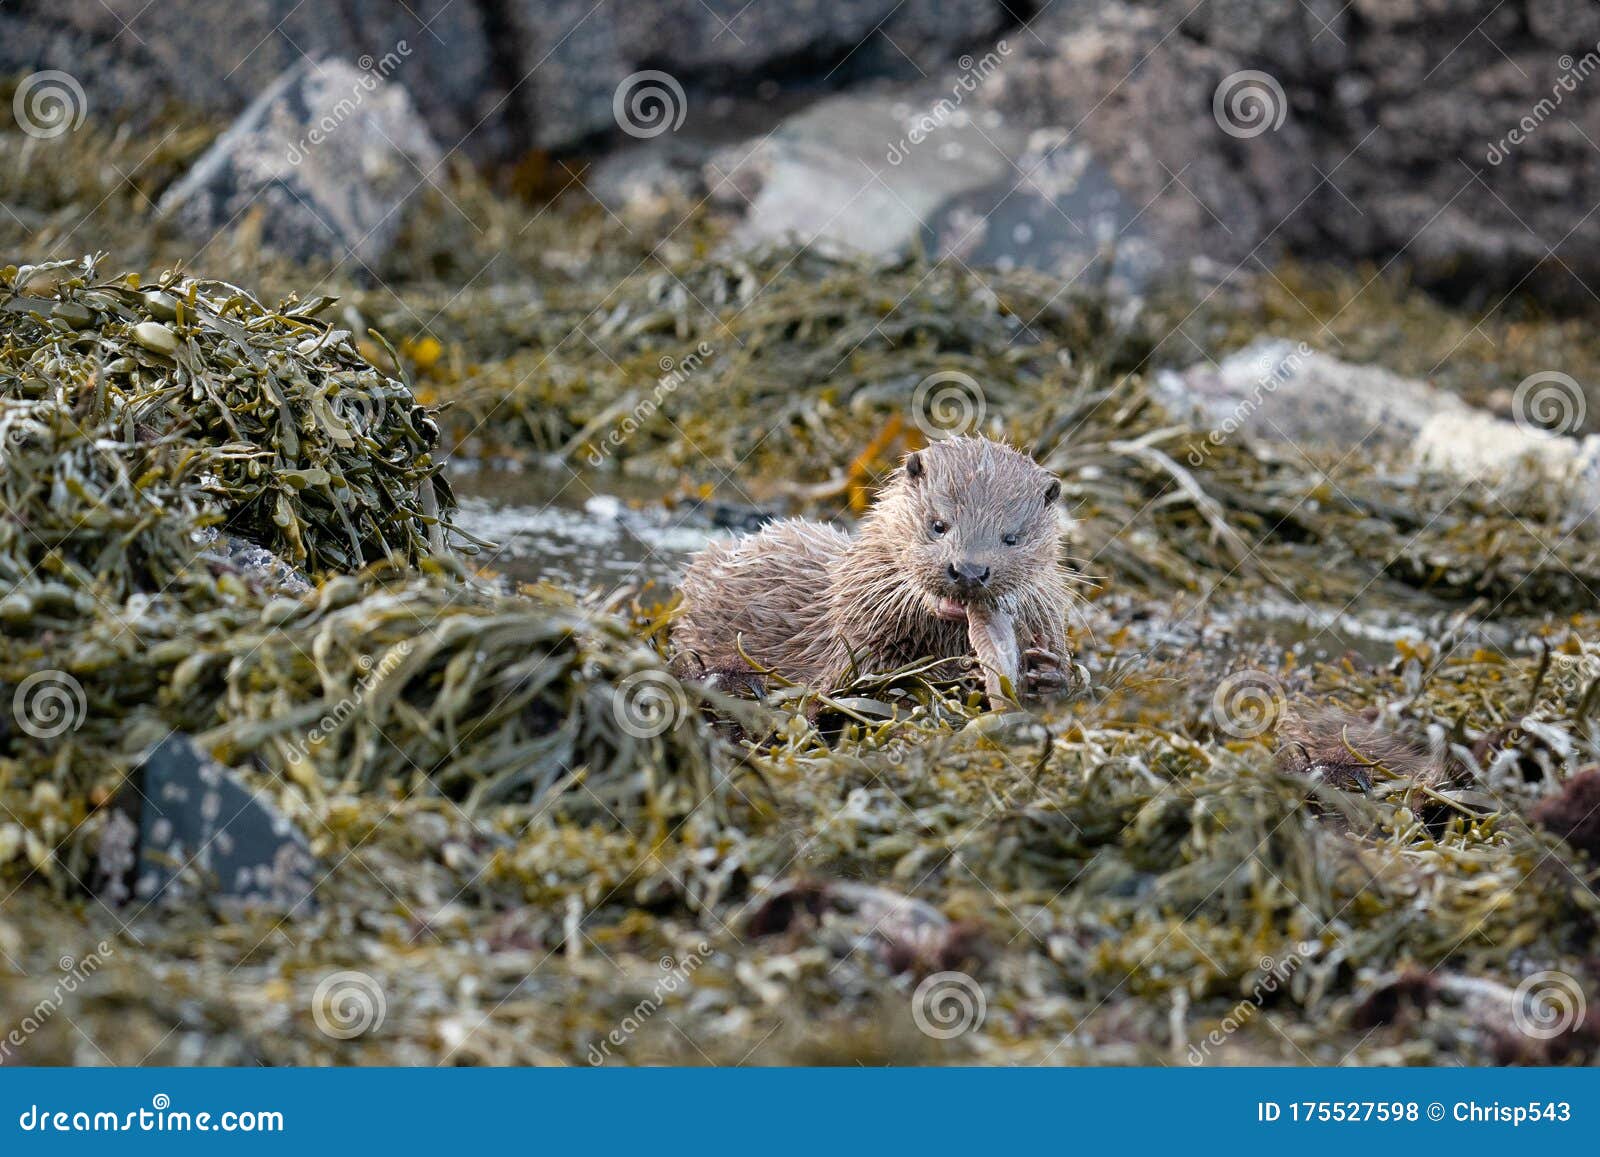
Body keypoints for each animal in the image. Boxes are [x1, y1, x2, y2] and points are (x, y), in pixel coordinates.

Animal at [668, 435, 1068, 700]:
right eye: (938, 524)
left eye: (1011, 537)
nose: (968, 570)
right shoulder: (853, 639)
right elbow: (860, 677)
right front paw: (962, 673)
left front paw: (1051, 674)